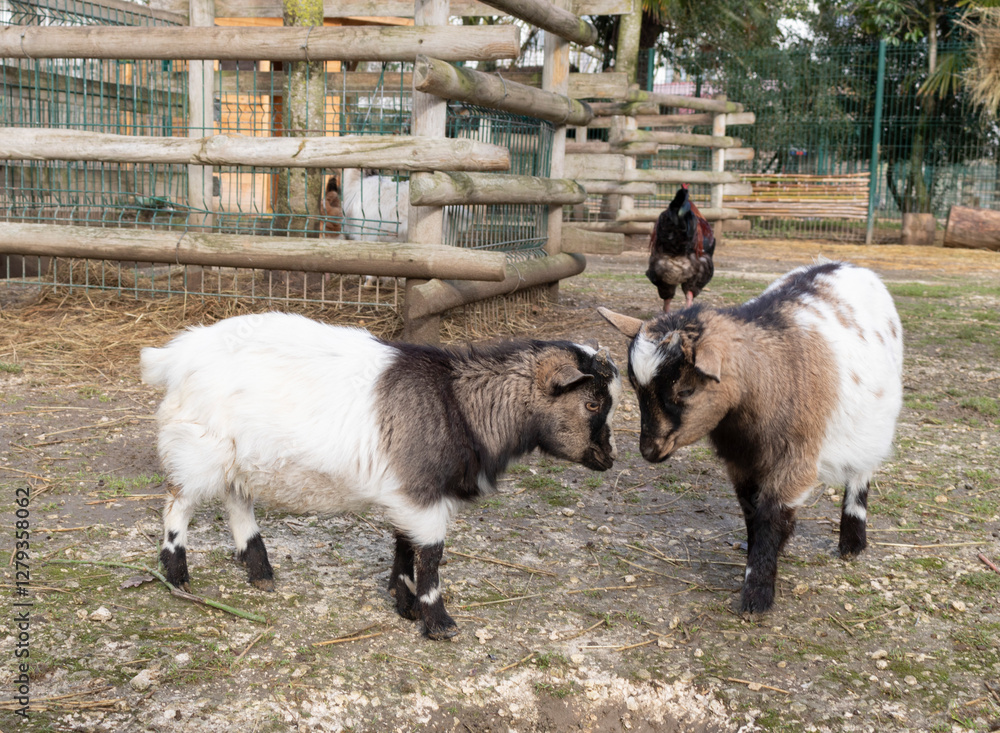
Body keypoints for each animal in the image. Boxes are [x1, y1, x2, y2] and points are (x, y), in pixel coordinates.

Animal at [141, 313, 622, 639]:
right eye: (592, 403)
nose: (609, 458)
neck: (461, 404)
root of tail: (177, 356)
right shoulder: (422, 492)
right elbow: (431, 555)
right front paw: (438, 622)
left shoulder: (408, 494)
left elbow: (405, 545)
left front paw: (403, 601)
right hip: (198, 448)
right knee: (178, 503)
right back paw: (177, 574)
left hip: (239, 457)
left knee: (237, 499)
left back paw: (259, 570)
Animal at [599, 262, 903, 613]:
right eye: (636, 386)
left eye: (685, 390)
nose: (650, 450)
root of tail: (846, 265)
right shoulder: (740, 461)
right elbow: (751, 511)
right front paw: (758, 556)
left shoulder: (795, 459)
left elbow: (771, 516)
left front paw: (757, 595)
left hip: (873, 423)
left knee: (861, 472)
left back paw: (852, 541)